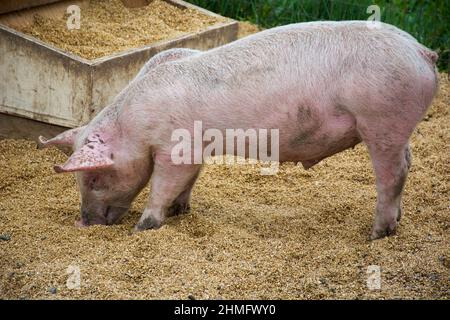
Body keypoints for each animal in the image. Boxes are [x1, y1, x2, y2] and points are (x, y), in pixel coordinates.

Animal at [37, 21, 438, 239]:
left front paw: (144, 228)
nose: (83, 223)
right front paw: (181, 211)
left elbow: (163, 185)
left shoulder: (176, 147)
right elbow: (189, 180)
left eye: (93, 178)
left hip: (382, 120)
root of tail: (423, 51)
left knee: (393, 174)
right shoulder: (197, 148)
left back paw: (377, 234)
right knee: (408, 162)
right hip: (395, 128)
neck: (135, 124)